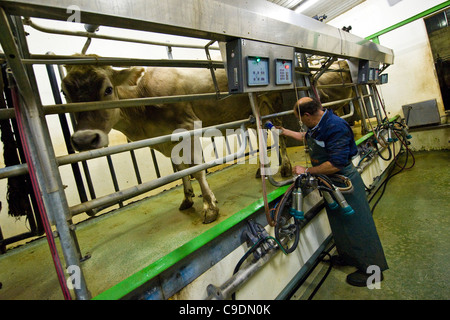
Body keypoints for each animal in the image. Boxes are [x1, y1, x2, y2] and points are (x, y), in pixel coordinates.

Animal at [61, 56, 292, 224]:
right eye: (64, 93)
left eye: (108, 89)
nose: (84, 139)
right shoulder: (168, 137)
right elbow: (180, 169)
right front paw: (187, 197)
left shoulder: (188, 127)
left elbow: (197, 170)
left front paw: (210, 207)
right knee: (261, 134)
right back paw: (261, 169)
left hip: (272, 103)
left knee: (279, 131)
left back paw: (285, 168)